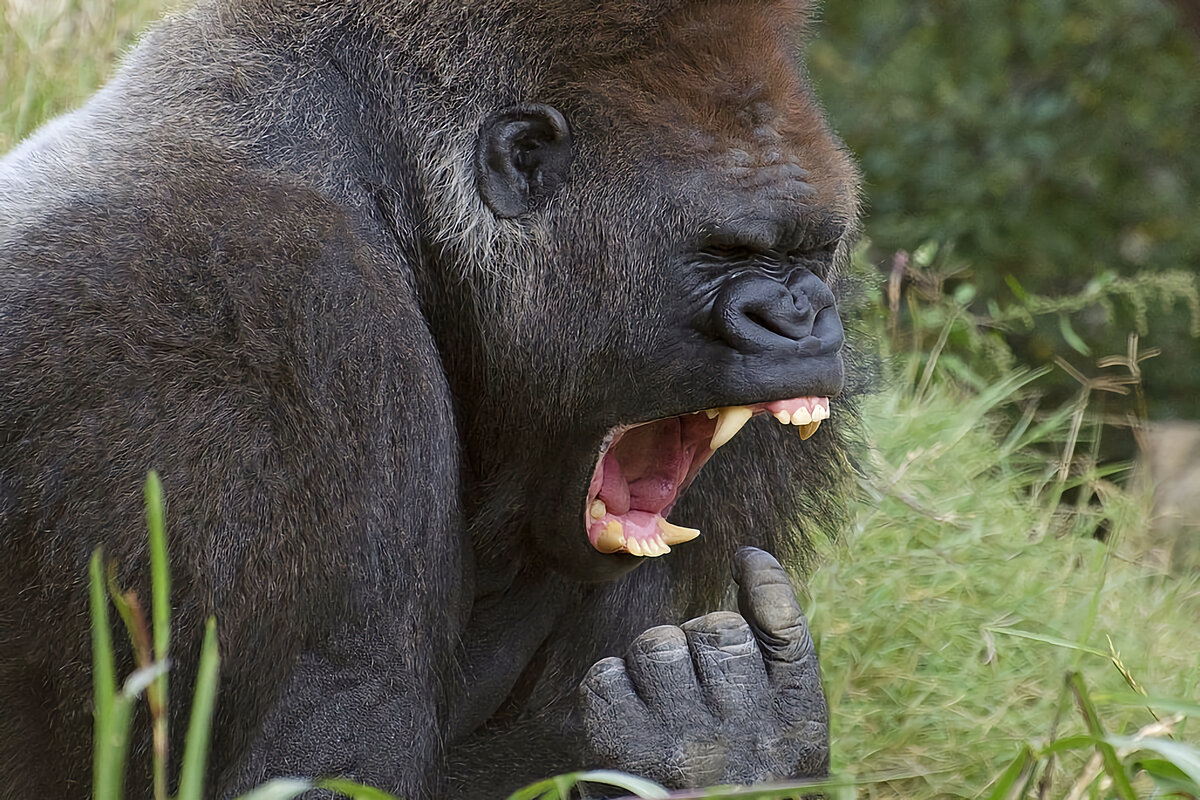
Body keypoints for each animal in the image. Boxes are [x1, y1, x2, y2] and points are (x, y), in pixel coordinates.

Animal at [0, 0, 864, 796]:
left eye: (812, 249)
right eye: (726, 250)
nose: (802, 316)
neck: (392, 186)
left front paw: (735, 749)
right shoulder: (276, 313)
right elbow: (317, 765)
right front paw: (720, 750)